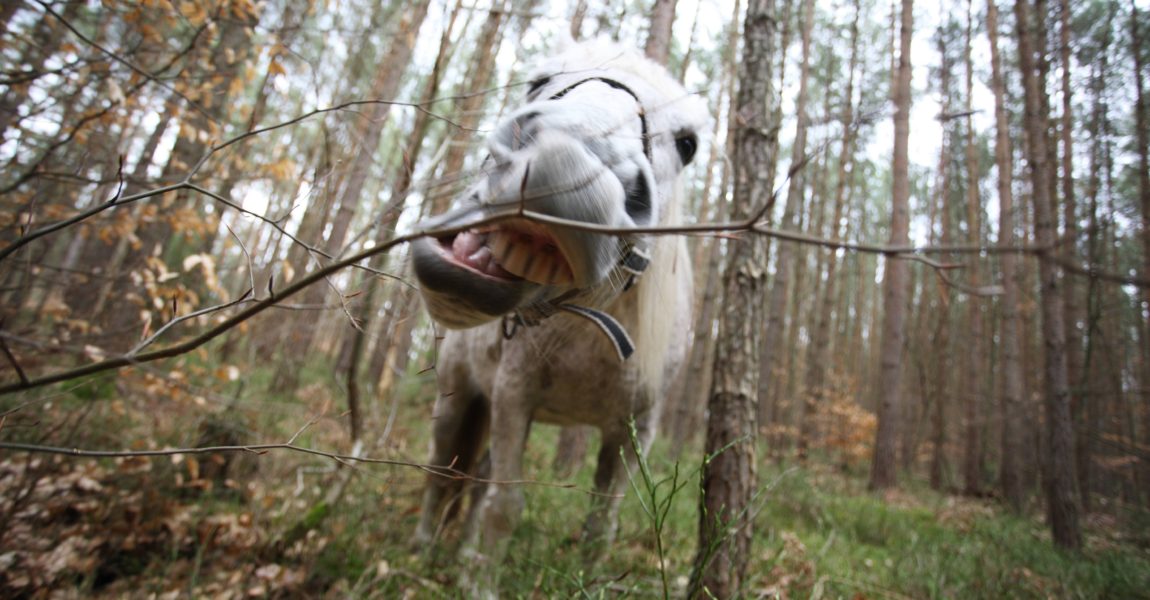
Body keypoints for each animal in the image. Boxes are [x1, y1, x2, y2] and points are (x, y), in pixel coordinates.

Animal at [404, 36, 708, 579]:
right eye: (538, 81)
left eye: (688, 144)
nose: (566, 162)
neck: (593, 335)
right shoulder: (514, 395)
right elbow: (505, 507)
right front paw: (480, 583)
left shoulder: (632, 431)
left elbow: (600, 525)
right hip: (456, 398)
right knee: (442, 470)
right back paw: (423, 549)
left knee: (478, 479)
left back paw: (461, 554)